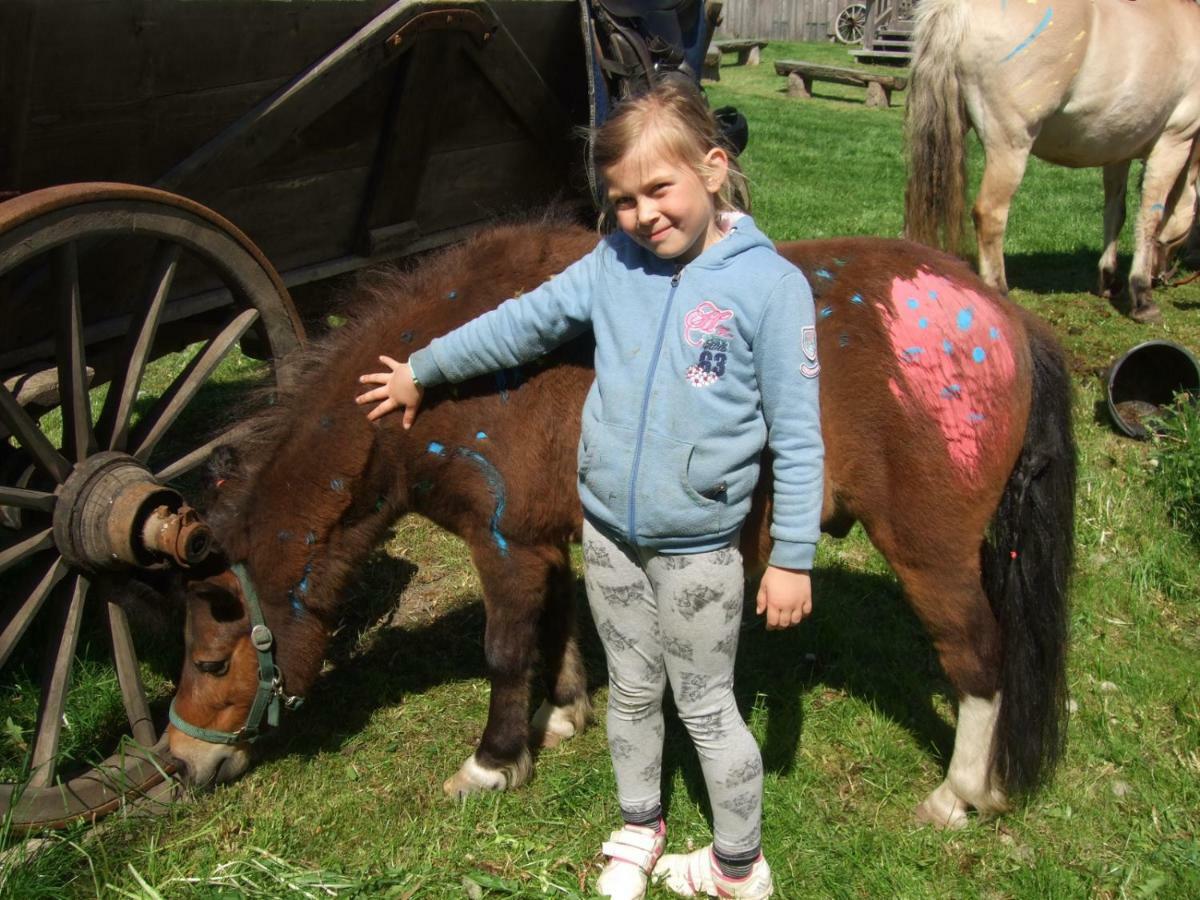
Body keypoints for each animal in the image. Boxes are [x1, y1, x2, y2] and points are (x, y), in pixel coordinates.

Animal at [164, 217, 1075, 825]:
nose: (177, 762)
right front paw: (564, 714)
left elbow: (505, 651)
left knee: (978, 659)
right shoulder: (545, 542)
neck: (445, 399)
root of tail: (1004, 320)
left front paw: (493, 763)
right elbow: (560, 624)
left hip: (930, 557)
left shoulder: (503, 545)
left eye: (211, 662)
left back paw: (961, 794)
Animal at [902, 0, 1200, 321]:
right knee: (990, 214)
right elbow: (1150, 217)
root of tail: (958, 8)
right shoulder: (1174, 141)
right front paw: (1142, 297)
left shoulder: (1118, 148)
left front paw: (1109, 279)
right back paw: (1000, 292)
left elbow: (1115, 212)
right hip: (1010, 145)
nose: (1162, 275)